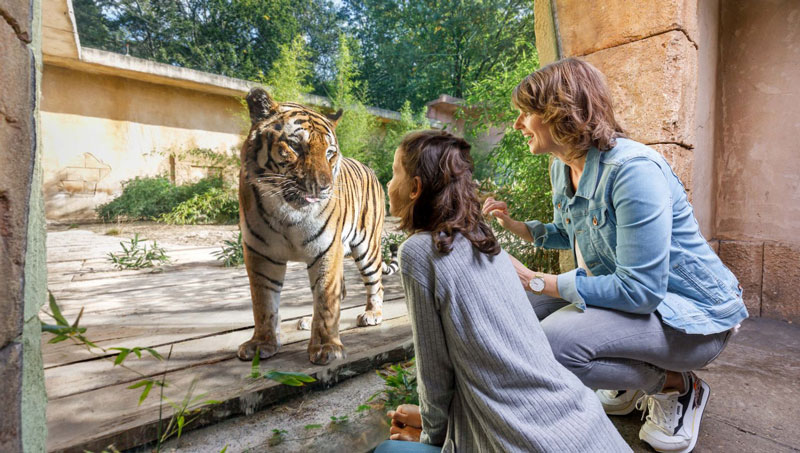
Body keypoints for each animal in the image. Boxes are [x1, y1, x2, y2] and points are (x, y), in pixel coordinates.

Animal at [238, 87, 400, 364]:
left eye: (329, 152)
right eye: (294, 146)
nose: (323, 187)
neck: (286, 213)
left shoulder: (326, 250)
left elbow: (325, 299)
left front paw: (326, 347)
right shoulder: (261, 253)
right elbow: (263, 302)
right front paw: (261, 343)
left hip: (367, 246)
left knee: (375, 283)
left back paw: (372, 314)